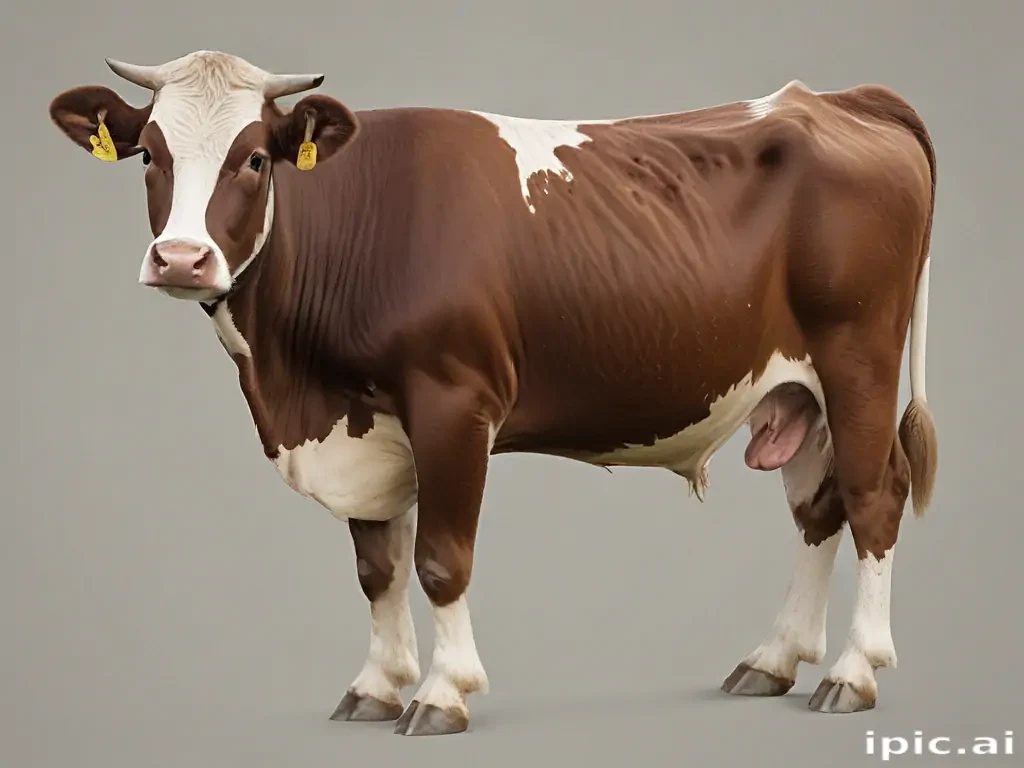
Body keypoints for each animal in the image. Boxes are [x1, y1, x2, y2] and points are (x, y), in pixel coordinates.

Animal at [48, 50, 938, 736]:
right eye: (150, 155)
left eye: (256, 159)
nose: (181, 258)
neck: (294, 385)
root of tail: (837, 100)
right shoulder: (365, 424)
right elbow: (378, 566)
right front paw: (375, 687)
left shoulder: (453, 403)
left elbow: (442, 560)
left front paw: (442, 694)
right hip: (796, 394)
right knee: (819, 506)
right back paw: (774, 659)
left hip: (857, 359)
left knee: (875, 495)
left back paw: (852, 674)